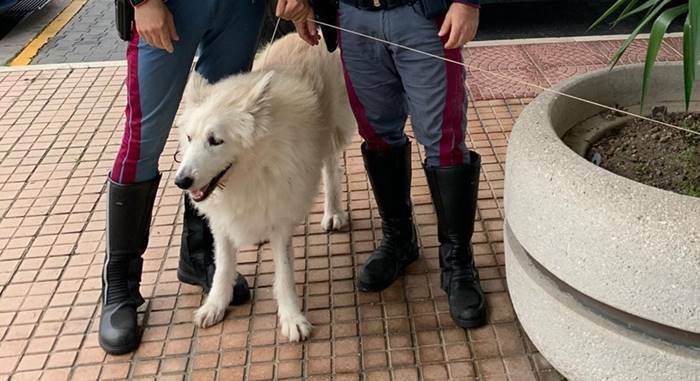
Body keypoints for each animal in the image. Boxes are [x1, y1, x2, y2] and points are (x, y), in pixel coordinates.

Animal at [173, 33, 352, 342]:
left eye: (215, 140)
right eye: (189, 138)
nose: (181, 181)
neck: (251, 168)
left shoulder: (279, 217)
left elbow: (284, 272)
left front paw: (292, 318)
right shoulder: (221, 221)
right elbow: (223, 265)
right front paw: (215, 304)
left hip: (332, 131)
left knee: (330, 167)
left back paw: (333, 213)